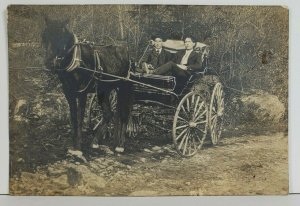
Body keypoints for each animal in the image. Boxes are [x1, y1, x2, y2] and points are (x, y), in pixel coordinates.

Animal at [41, 17, 132, 153]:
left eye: (61, 36)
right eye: (44, 36)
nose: (49, 63)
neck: (75, 61)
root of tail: (126, 51)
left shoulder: (82, 92)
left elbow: (80, 116)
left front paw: (78, 146)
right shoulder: (69, 93)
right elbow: (73, 116)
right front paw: (74, 144)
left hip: (123, 89)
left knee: (124, 114)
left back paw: (120, 145)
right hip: (104, 91)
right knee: (108, 114)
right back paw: (97, 142)